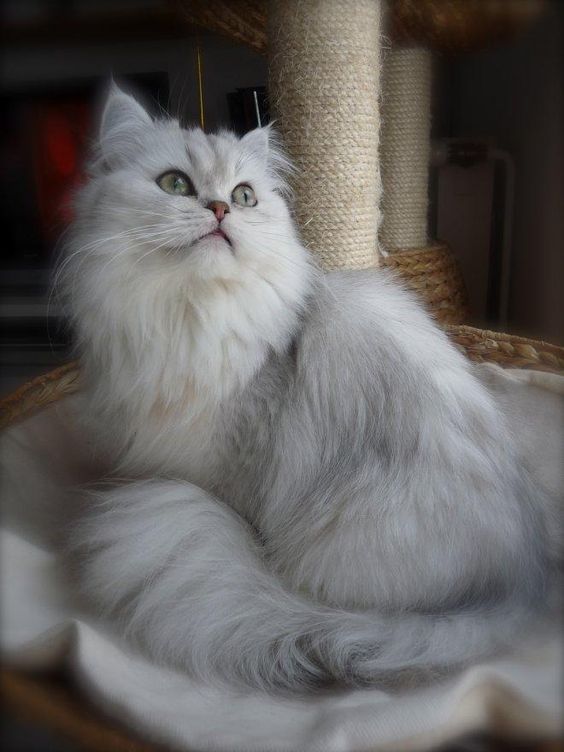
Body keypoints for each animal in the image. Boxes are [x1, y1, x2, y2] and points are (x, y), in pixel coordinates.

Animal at [60, 85, 552, 692]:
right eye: (175, 184)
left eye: (244, 196)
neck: (192, 314)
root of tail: (520, 581)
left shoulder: (229, 470)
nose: (220, 209)